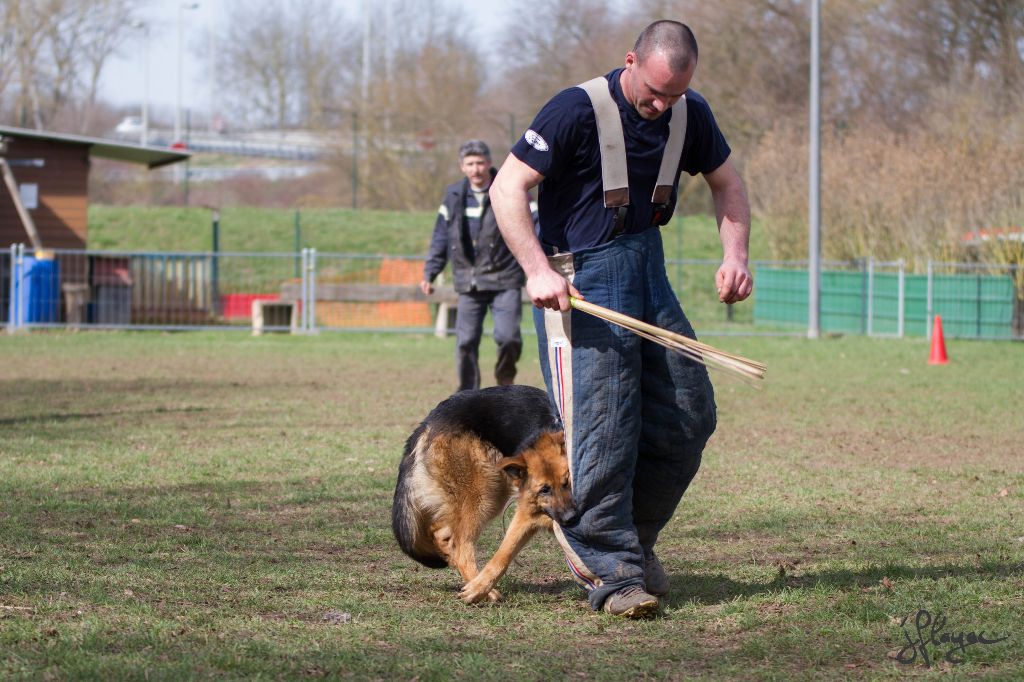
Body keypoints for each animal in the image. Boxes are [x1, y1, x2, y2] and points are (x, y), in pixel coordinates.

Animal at [389, 385, 573, 602]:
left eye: (568, 482)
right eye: (544, 489)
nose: (570, 518)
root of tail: (429, 421)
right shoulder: (526, 513)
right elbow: (503, 555)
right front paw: (479, 588)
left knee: (441, 532)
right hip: (486, 495)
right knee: (460, 547)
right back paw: (481, 589)